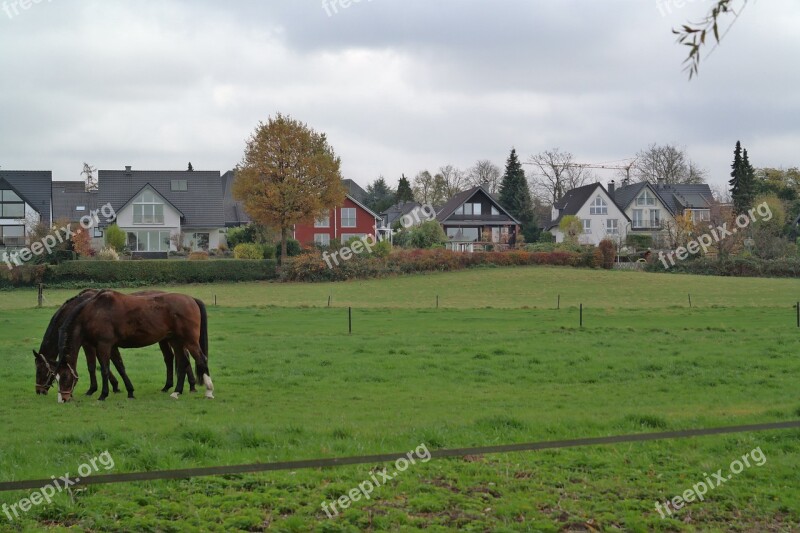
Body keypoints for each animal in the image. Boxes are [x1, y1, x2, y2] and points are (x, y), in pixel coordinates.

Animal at [55, 290, 212, 400]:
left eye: (65, 377)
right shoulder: (108, 346)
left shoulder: (104, 345)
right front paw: (130, 391)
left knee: (201, 359)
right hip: (176, 341)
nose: (63, 398)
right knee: (183, 362)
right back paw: (176, 392)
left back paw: (209, 392)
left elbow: (105, 369)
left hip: (190, 341)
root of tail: (192, 299)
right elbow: (119, 367)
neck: (94, 312)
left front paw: (103, 394)